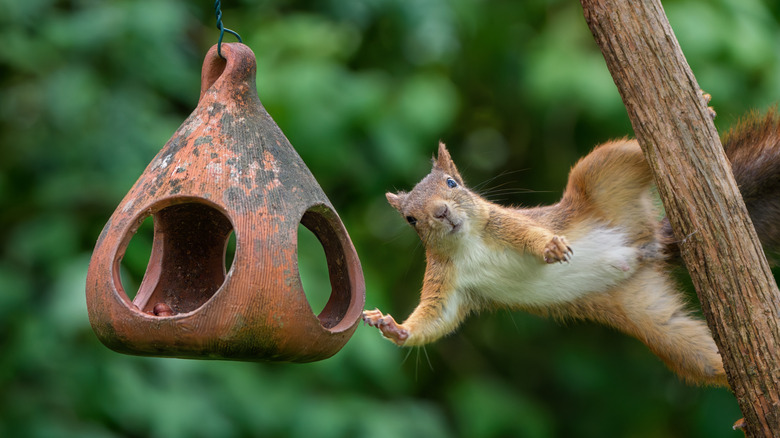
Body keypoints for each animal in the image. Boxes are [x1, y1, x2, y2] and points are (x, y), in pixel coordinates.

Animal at [363, 107, 780, 387]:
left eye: (452, 183)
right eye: (410, 219)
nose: (441, 212)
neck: (466, 244)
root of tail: (647, 245)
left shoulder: (506, 223)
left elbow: (530, 236)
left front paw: (550, 248)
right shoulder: (447, 283)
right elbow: (436, 318)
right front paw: (393, 328)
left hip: (600, 174)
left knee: (633, 155)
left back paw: (703, 110)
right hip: (647, 314)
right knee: (693, 351)